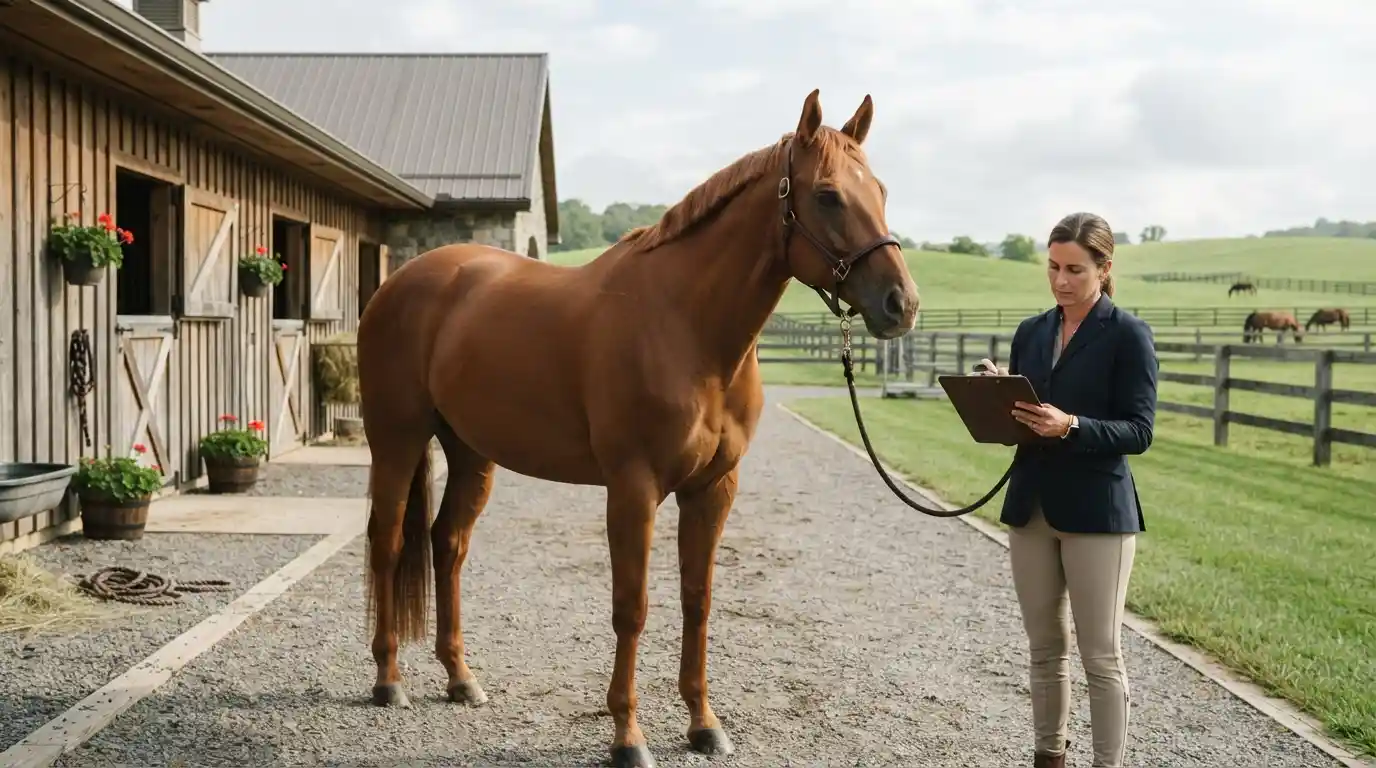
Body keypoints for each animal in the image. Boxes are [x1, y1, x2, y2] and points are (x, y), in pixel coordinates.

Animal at [355, 89, 920, 768]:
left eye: (881, 189)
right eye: (829, 195)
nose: (901, 304)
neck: (685, 325)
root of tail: (402, 282)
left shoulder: (714, 489)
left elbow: (697, 601)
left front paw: (704, 724)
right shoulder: (633, 488)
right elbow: (633, 608)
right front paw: (628, 736)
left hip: (471, 452)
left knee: (448, 543)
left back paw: (461, 679)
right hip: (397, 440)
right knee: (388, 542)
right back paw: (388, 681)